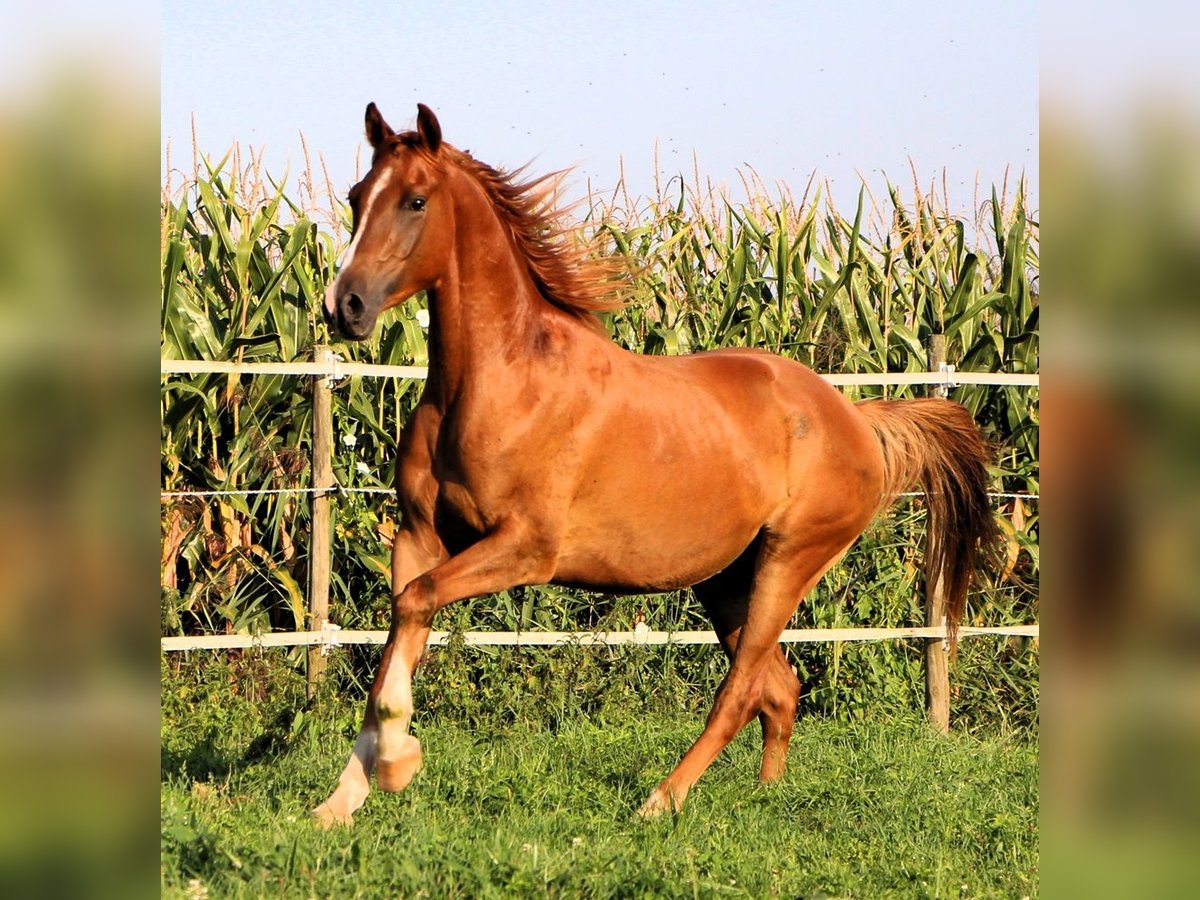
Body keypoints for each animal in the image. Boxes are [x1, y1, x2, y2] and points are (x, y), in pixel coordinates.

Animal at [312, 103, 993, 825]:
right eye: (356, 196)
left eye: (415, 200)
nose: (343, 305)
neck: (495, 385)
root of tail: (855, 418)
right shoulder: (420, 537)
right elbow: (402, 623)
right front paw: (341, 801)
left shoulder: (525, 548)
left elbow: (414, 606)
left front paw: (396, 764)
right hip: (728, 579)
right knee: (778, 689)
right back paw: (765, 796)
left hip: (789, 562)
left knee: (740, 691)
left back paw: (659, 803)